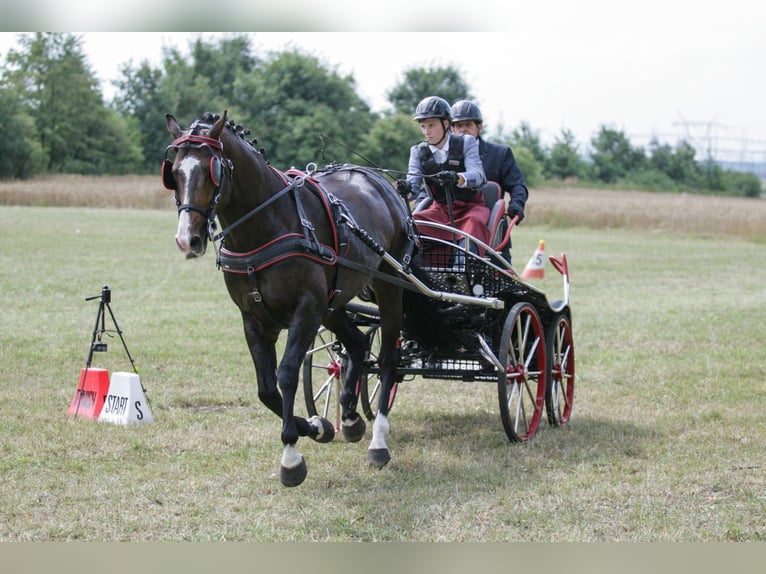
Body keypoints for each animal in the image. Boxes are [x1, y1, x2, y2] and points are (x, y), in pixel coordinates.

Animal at [163, 111, 414, 486]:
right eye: (175, 171)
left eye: (212, 170)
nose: (187, 239)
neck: (267, 224)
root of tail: (381, 183)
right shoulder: (253, 318)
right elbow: (266, 389)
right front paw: (316, 425)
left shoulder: (306, 309)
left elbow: (286, 374)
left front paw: (292, 456)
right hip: (334, 302)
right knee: (356, 344)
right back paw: (350, 418)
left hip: (389, 286)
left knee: (387, 359)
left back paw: (378, 440)